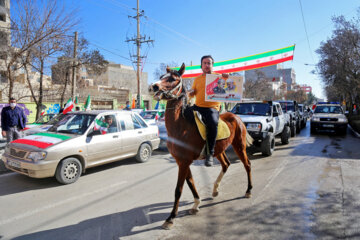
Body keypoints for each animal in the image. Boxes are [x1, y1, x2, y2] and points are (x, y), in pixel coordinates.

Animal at [149, 63, 253, 229]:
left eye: (173, 78)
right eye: (161, 77)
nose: (154, 87)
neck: (181, 126)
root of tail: (235, 116)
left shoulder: (184, 162)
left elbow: (179, 189)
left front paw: (170, 218)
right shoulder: (181, 161)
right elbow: (190, 183)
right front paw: (196, 204)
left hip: (239, 146)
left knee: (247, 165)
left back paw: (248, 190)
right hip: (218, 150)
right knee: (226, 164)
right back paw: (215, 190)